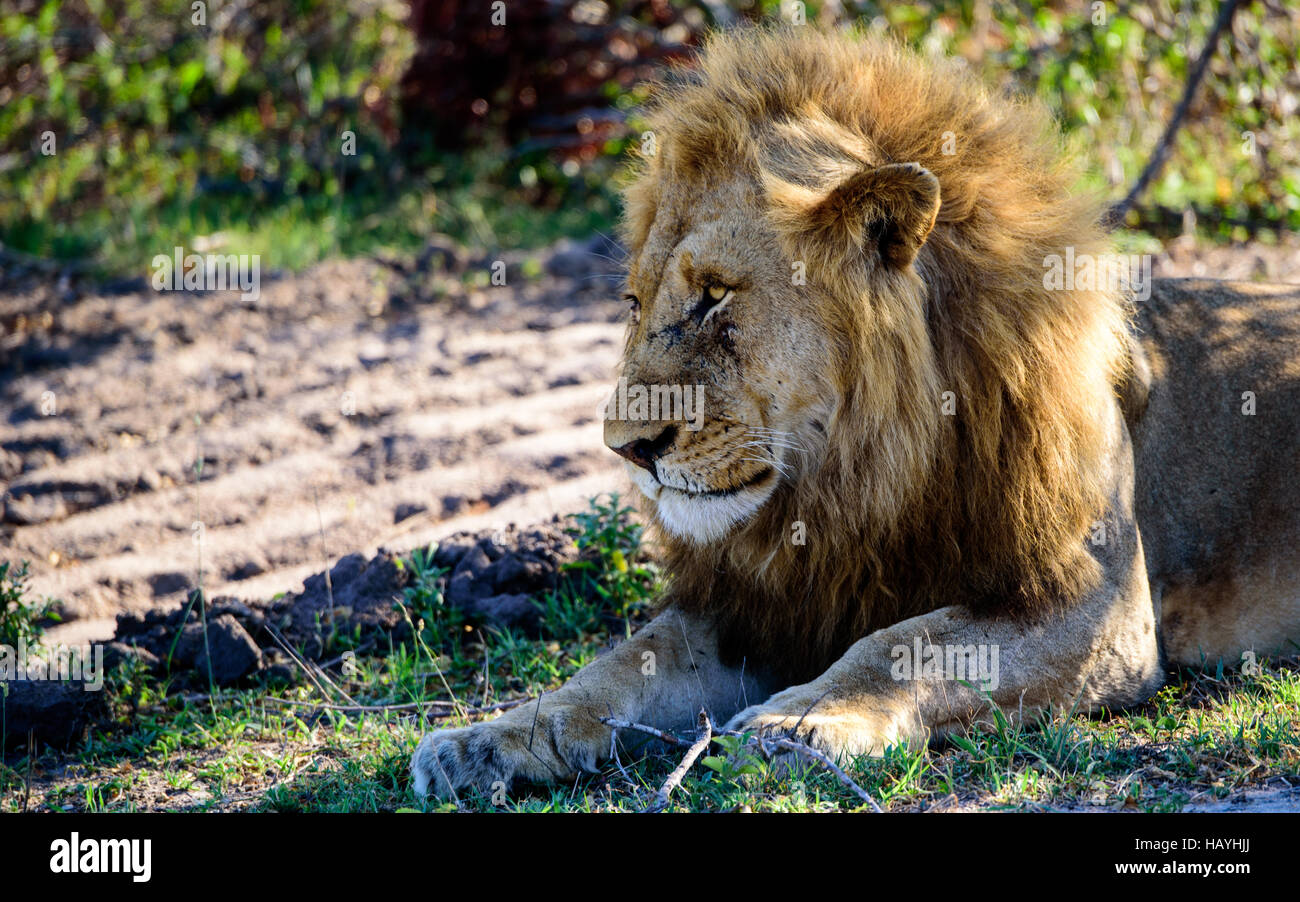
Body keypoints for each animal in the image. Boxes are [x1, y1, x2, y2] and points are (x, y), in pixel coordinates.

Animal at [413, 24, 1300, 800]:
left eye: (714, 296)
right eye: (633, 304)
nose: (627, 448)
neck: (857, 473)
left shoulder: (1097, 603)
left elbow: (910, 642)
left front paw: (803, 719)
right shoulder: (761, 606)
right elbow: (618, 663)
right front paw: (490, 738)